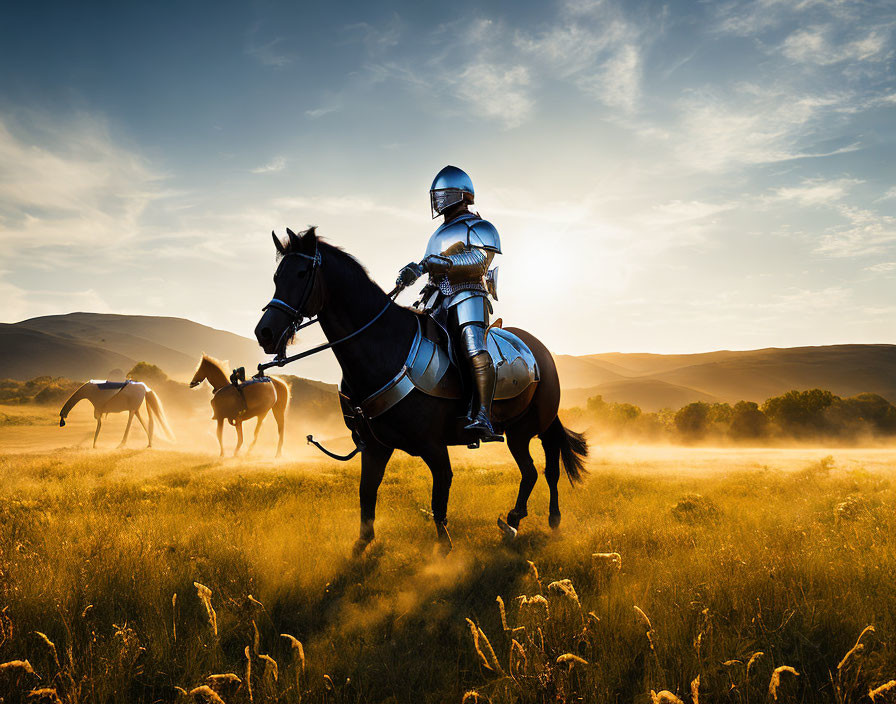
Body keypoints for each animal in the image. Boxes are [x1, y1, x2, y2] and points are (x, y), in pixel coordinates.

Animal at [252, 227, 588, 556]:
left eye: (302, 273)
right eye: (277, 277)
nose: (264, 333)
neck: (386, 347)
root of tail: (539, 351)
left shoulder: (433, 447)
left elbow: (439, 496)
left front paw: (443, 551)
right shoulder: (375, 448)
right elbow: (367, 494)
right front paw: (362, 544)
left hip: (532, 428)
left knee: (546, 469)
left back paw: (540, 519)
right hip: (519, 430)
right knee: (535, 471)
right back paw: (523, 521)